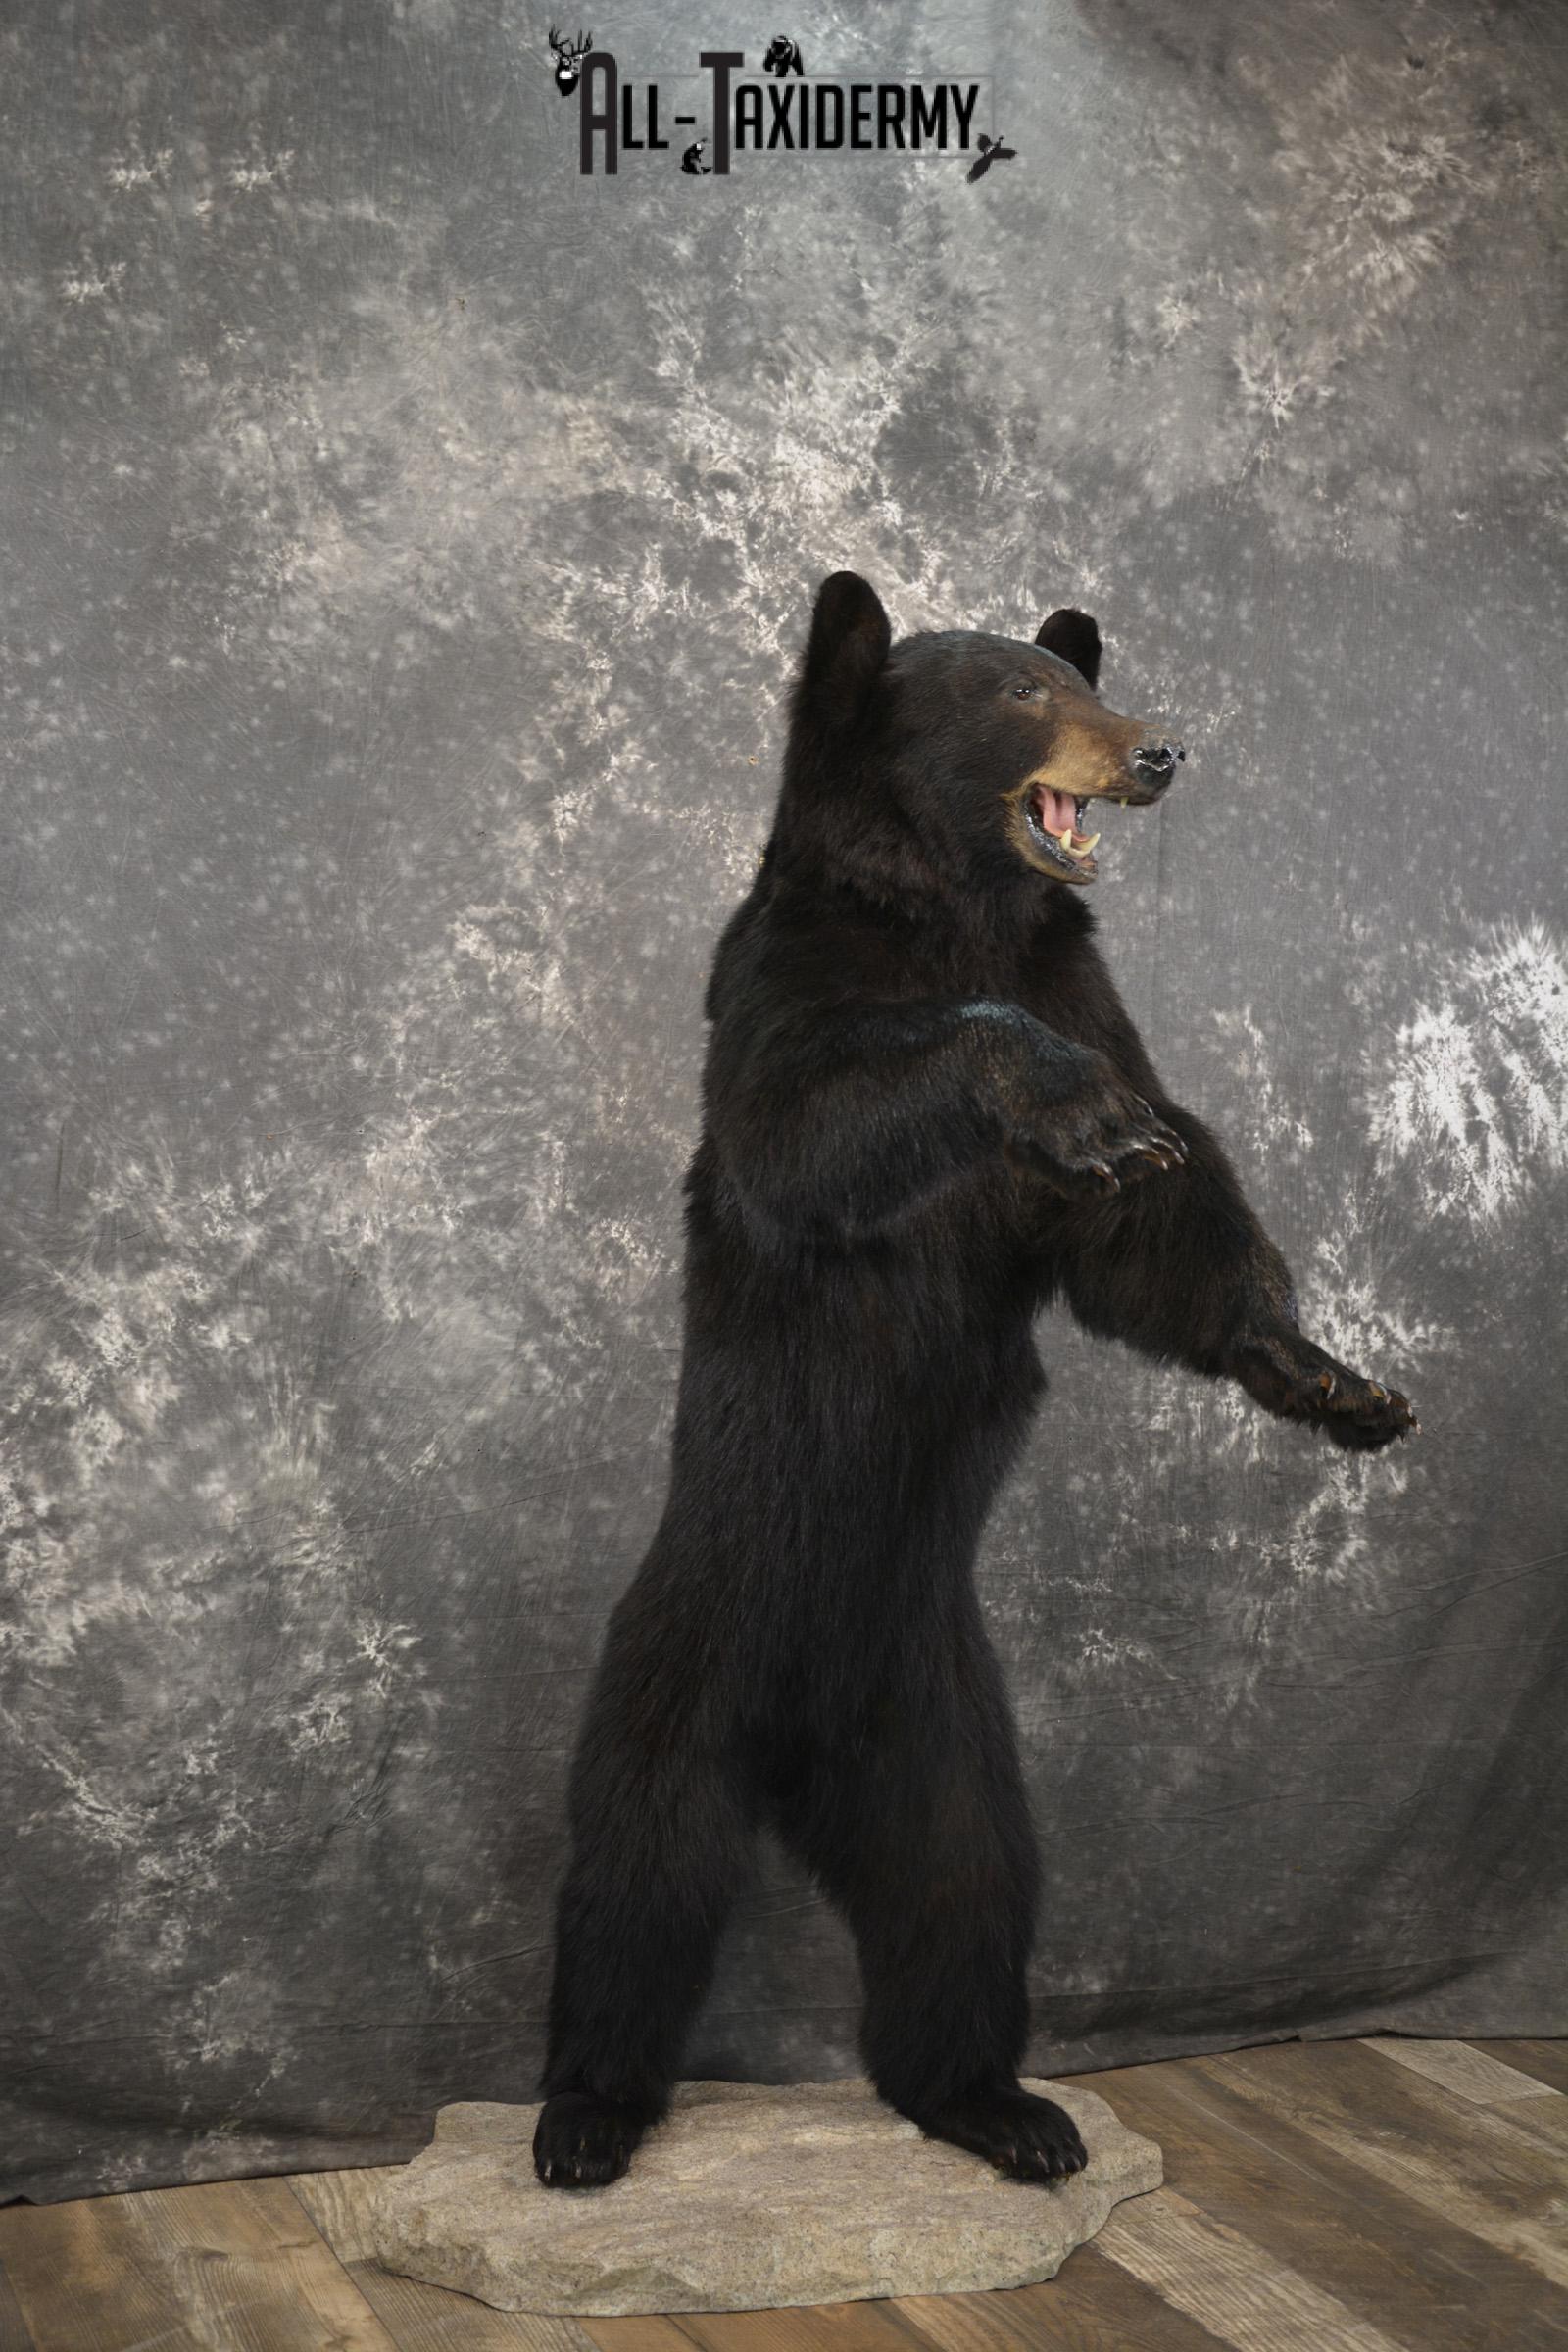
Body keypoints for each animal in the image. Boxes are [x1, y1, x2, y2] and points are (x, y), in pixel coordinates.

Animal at [531, 573, 1417, 2192]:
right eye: (1017, 695)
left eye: (1083, 681)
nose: (1160, 752)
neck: (959, 909)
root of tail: (800, 1755)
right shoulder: (791, 989)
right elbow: (812, 1124)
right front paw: (1073, 1105)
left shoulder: (1082, 983)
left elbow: (1159, 1223)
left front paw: (1330, 1378)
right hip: (680, 1661)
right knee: (636, 1875)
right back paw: (585, 2115)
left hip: (948, 1732)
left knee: (966, 1899)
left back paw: (1003, 2108)